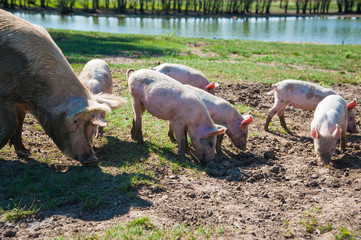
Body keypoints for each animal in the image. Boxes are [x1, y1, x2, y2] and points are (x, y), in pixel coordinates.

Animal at [0, 9, 125, 163]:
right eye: (75, 121)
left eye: (90, 123)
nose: (92, 159)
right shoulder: (5, 96)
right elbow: (12, 124)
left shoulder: (21, 102)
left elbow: (19, 125)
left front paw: (25, 153)